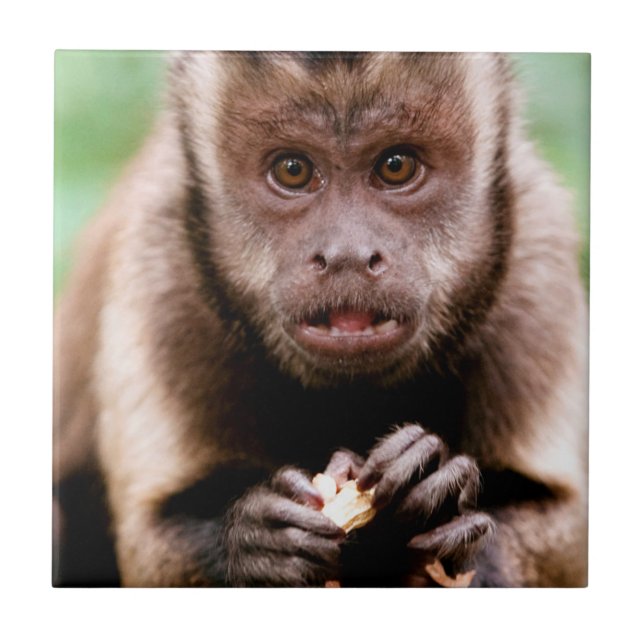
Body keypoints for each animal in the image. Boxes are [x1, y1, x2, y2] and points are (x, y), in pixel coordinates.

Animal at [53, 51, 588, 587]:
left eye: (396, 166)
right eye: (292, 170)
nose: (347, 254)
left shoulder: (535, 251)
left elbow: (566, 526)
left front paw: (442, 501)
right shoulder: (161, 260)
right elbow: (149, 542)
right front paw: (255, 545)